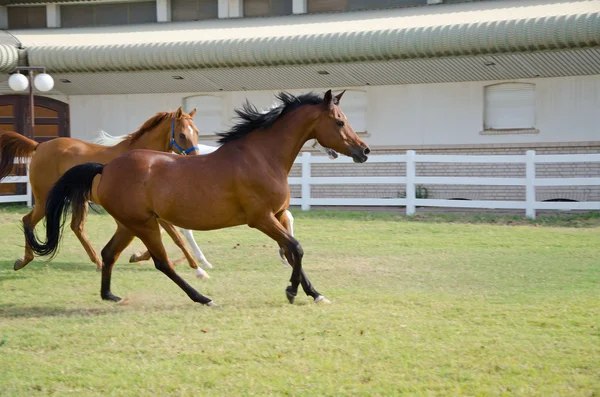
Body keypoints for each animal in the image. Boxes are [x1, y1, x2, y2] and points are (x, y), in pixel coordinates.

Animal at [0, 106, 207, 276]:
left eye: (197, 132)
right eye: (182, 135)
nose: (196, 160)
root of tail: (40, 145)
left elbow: (168, 235)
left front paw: (138, 256)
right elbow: (177, 236)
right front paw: (197, 268)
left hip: (77, 199)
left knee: (76, 227)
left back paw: (98, 263)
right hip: (45, 200)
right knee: (28, 221)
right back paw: (24, 260)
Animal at [92, 130, 340, 270]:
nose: (334, 152)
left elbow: (287, 218)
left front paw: (285, 253)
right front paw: (285, 254)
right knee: (181, 231)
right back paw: (200, 262)